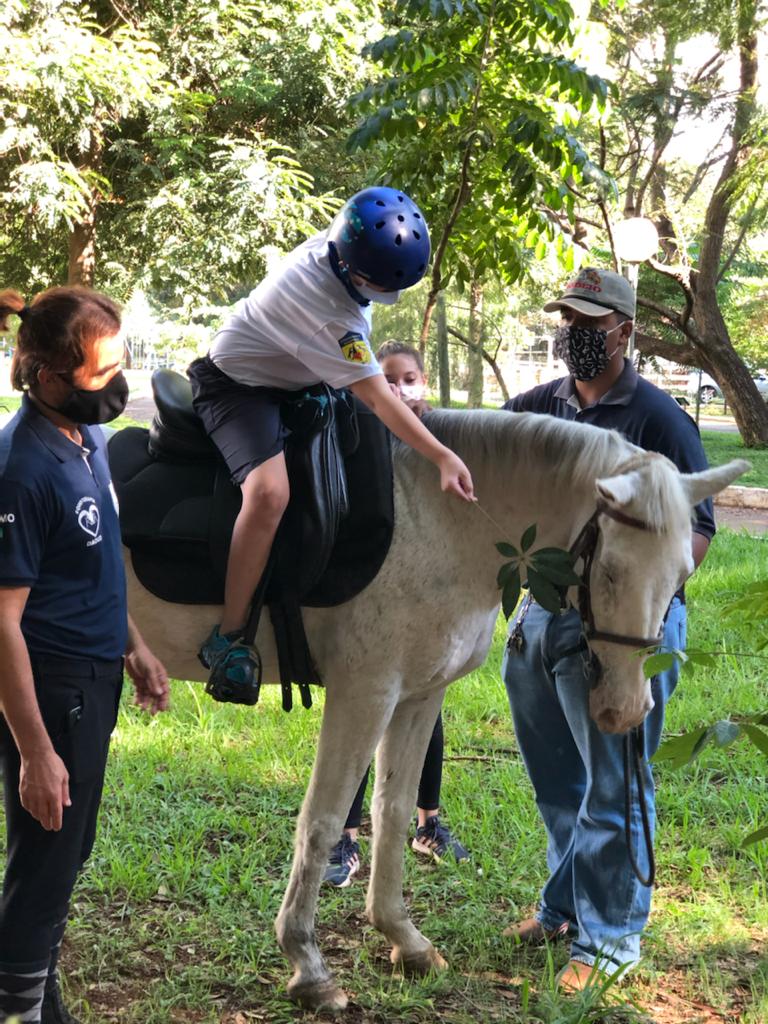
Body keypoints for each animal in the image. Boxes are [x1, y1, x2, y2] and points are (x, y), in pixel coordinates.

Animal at [124, 407, 745, 1007]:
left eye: (683, 574)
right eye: (611, 572)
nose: (627, 709)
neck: (441, 522)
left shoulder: (419, 696)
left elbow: (393, 811)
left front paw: (405, 940)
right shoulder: (365, 692)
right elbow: (322, 821)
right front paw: (308, 965)